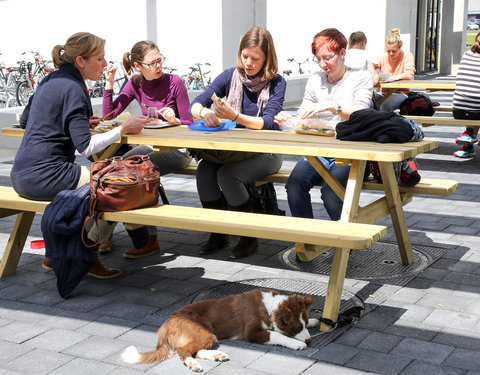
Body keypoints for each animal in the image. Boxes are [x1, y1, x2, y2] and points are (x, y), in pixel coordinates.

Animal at [121, 290, 318, 372]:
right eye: (296, 327)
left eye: (305, 323)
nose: (310, 341)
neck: (269, 307)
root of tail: (165, 324)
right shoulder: (252, 332)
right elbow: (276, 334)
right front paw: (297, 344)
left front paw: (316, 321)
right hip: (202, 331)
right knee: (183, 351)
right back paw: (193, 365)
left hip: (207, 335)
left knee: (196, 350)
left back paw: (217, 355)